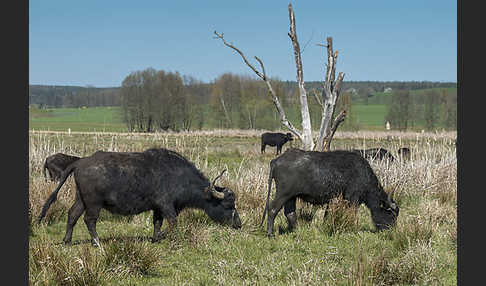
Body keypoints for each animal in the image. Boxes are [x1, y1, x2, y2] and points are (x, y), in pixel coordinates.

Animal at [37, 147, 242, 246]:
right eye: (228, 205)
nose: (238, 224)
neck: (179, 176)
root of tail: (79, 163)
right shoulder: (166, 205)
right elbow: (173, 223)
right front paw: (161, 237)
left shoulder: (157, 209)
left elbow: (157, 223)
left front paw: (155, 238)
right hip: (94, 203)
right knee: (89, 220)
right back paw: (96, 242)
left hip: (81, 199)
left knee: (72, 215)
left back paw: (67, 241)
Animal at [260, 149, 396, 236]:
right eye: (391, 214)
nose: (391, 229)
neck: (362, 173)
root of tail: (276, 160)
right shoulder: (353, 199)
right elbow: (352, 214)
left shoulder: (333, 201)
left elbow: (327, 215)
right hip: (283, 194)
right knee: (272, 209)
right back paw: (270, 234)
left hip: (291, 197)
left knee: (290, 213)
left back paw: (297, 230)